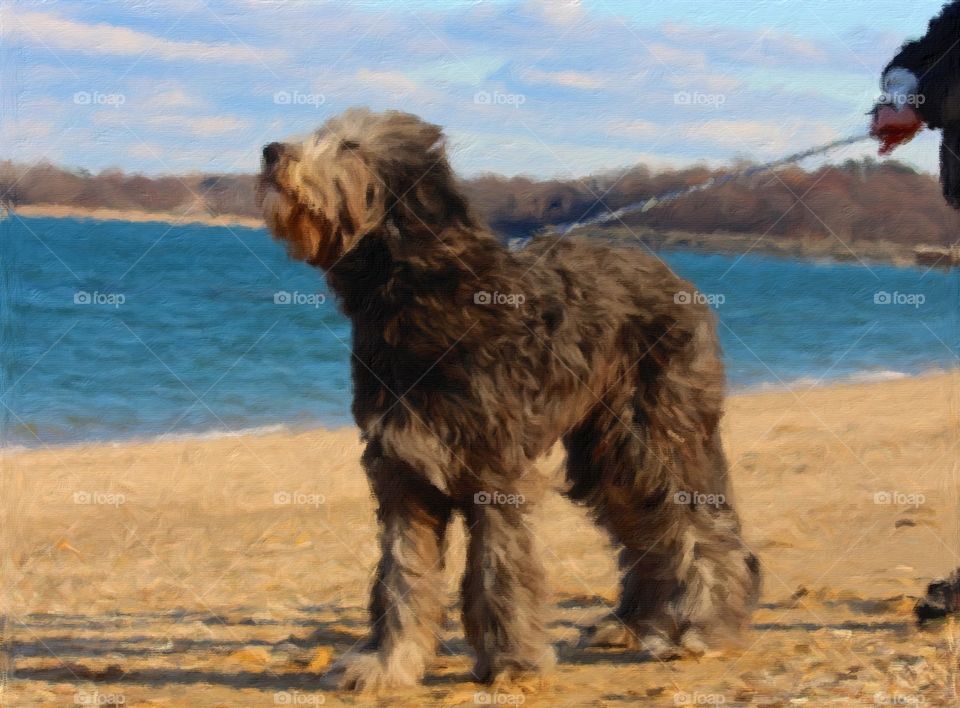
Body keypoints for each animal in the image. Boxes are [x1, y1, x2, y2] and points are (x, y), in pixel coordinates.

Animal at [258, 110, 760, 692]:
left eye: (350, 144)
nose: (271, 152)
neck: (422, 295)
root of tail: (678, 280)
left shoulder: (493, 471)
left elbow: (498, 571)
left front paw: (512, 663)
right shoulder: (402, 472)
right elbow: (400, 577)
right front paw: (388, 662)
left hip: (654, 433)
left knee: (697, 524)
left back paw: (704, 627)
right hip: (606, 451)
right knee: (645, 530)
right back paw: (637, 623)